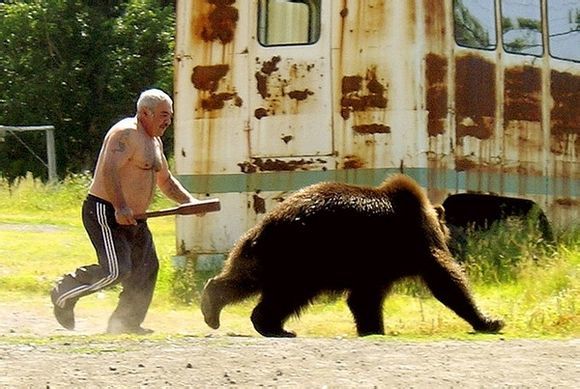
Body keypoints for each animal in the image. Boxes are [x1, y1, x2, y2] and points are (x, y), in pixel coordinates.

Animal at [202, 174, 506, 336]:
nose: (453, 233)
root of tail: (268, 222)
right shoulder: (413, 242)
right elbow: (445, 278)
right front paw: (490, 320)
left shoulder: (375, 266)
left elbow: (364, 299)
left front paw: (372, 328)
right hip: (305, 256)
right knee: (288, 294)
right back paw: (273, 325)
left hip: (267, 253)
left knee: (246, 278)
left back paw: (216, 308)